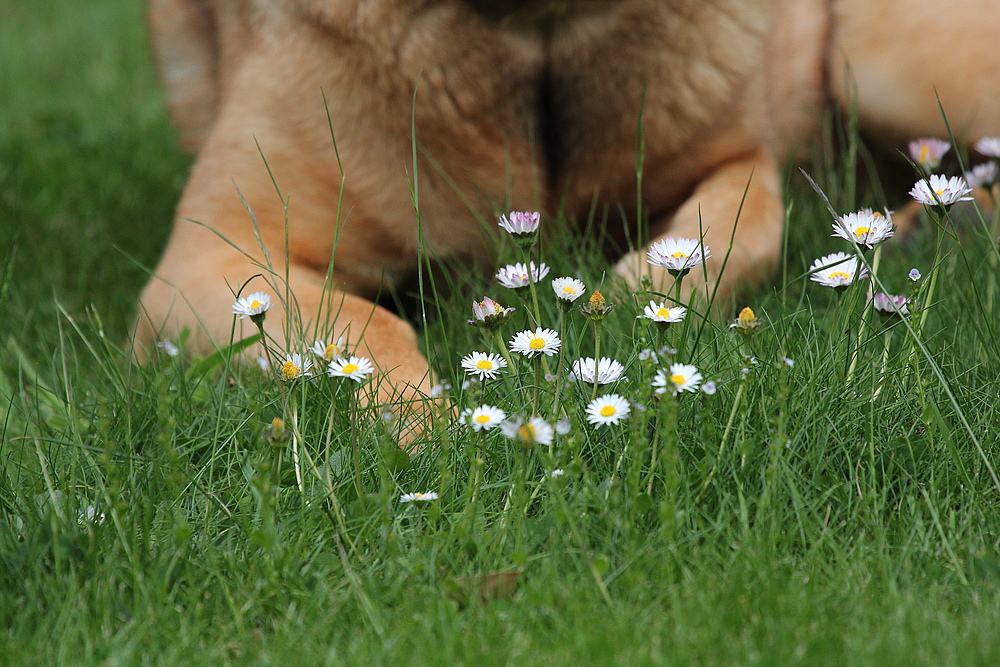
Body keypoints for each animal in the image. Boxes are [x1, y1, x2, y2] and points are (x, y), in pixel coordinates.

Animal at [139, 0, 1000, 396]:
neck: (539, 30)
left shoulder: (742, 158)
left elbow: (733, 234)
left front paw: (627, 311)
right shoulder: (208, 256)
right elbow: (369, 326)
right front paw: (423, 423)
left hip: (884, 57)